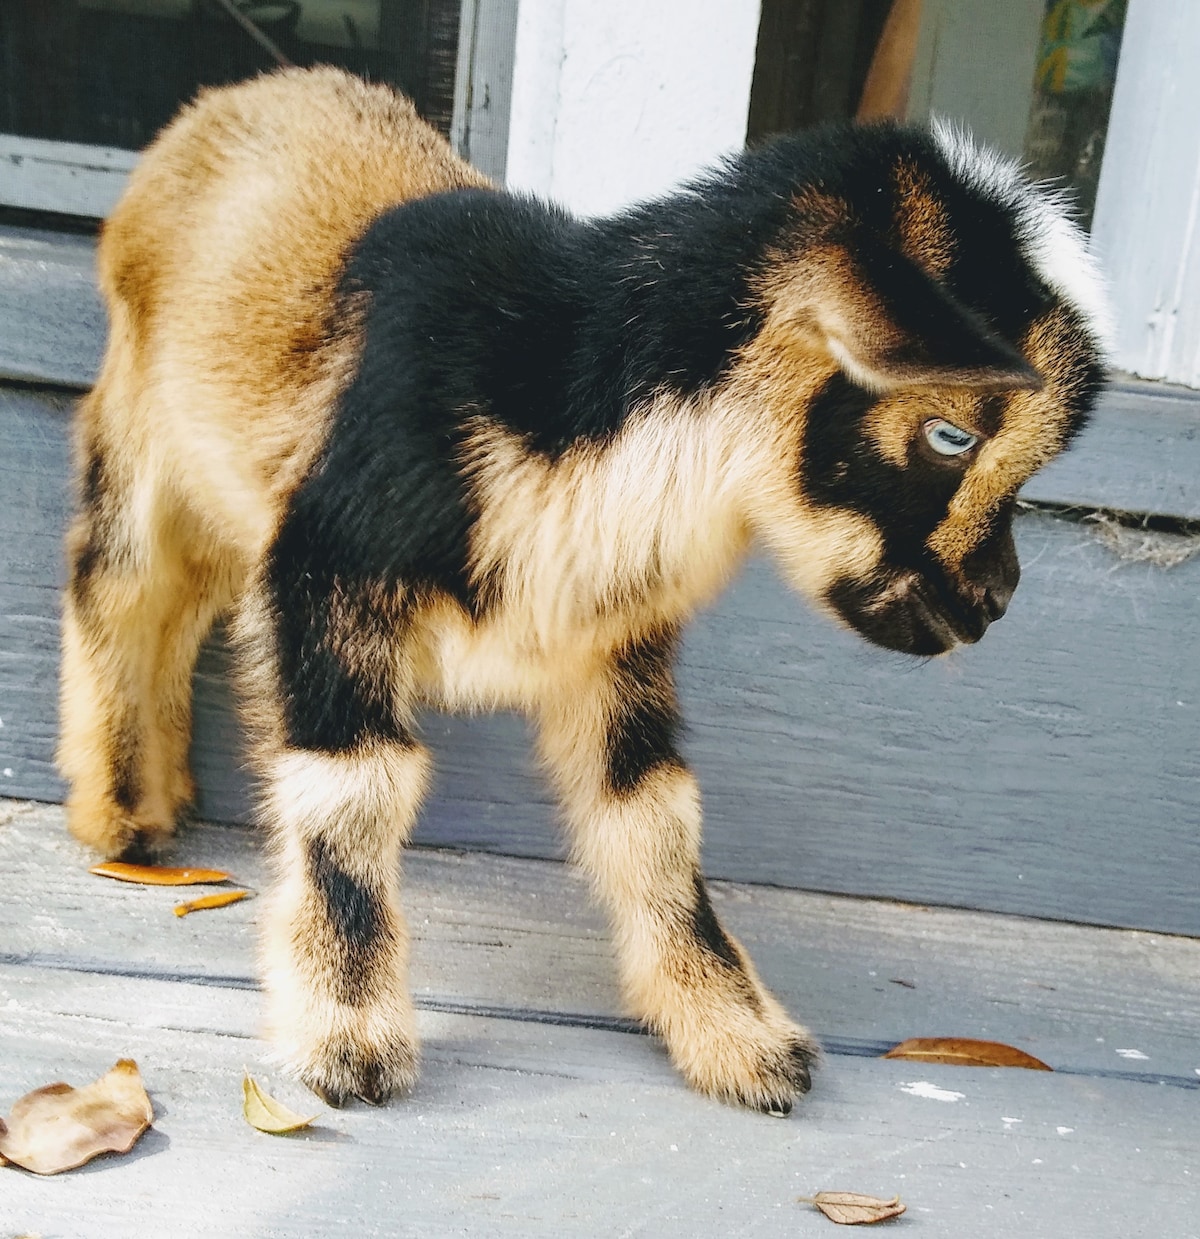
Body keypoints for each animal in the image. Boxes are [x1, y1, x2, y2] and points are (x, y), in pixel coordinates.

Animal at [56, 65, 1104, 1115]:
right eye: (951, 435)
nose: (997, 597)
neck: (555, 397)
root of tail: (237, 96)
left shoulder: (612, 640)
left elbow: (655, 818)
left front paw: (736, 1035)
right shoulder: (329, 570)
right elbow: (352, 793)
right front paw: (346, 1038)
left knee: (188, 604)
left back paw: (163, 795)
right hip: (139, 435)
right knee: (117, 588)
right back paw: (115, 814)